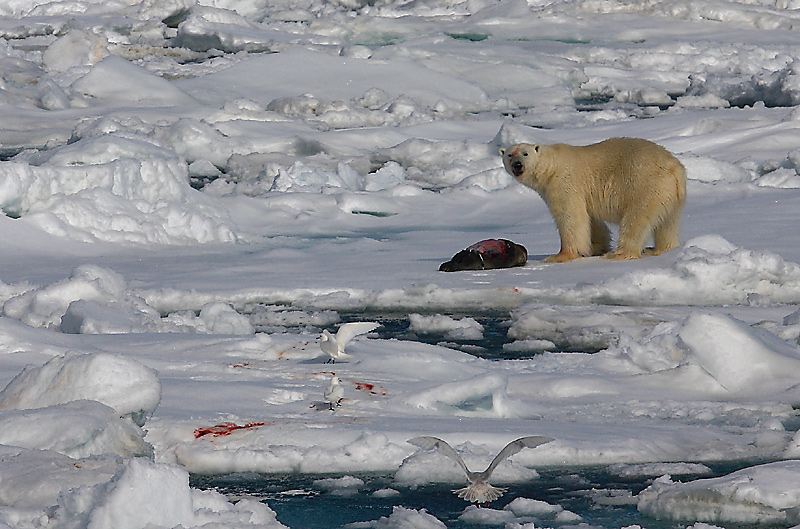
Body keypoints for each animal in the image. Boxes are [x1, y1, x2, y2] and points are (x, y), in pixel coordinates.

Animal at [504, 135, 684, 260]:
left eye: (525, 153)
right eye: (509, 155)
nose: (517, 165)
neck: (551, 166)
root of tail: (675, 168)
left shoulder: (564, 182)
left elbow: (571, 217)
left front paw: (561, 255)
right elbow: (592, 221)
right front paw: (597, 247)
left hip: (645, 185)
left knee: (636, 219)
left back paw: (619, 253)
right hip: (668, 193)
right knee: (668, 222)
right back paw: (659, 249)